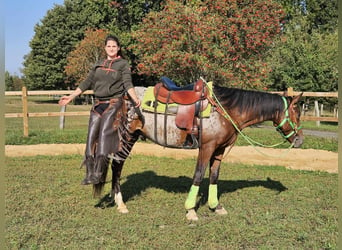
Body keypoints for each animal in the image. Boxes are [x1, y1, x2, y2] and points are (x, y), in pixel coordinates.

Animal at [92, 78, 304, 221]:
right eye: (296, 113)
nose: (300, 140)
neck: (226, 109)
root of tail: (122, 98)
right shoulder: (207, 147)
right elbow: (199, 174)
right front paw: (191, 210)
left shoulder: (219, 150)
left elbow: (214, 176)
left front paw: (216, 206)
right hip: (126, 137)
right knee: (117, 164)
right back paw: (120, 203)